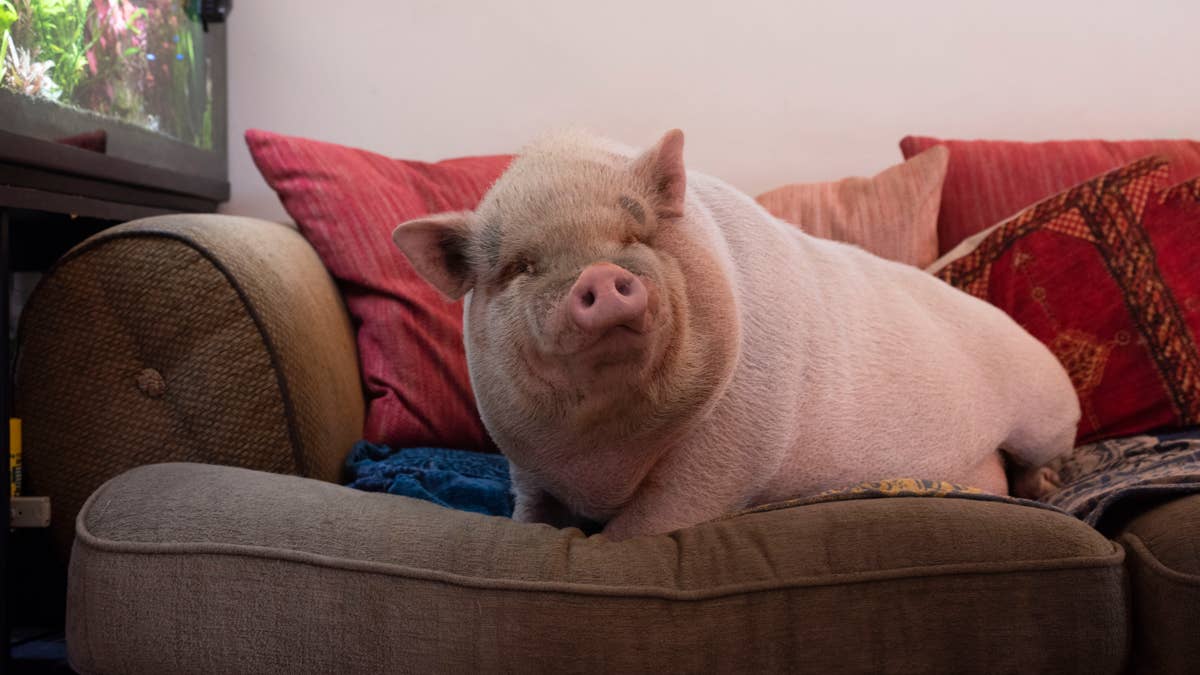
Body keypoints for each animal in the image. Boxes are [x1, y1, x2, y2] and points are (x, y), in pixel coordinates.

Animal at [391, 129, 1080, 540]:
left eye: (637, 235)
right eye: (521, 267)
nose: (601, 274)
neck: (602, 458)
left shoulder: (735, 448)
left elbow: (646, 526)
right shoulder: (524, 460)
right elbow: (530, 515)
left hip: (1045, 409)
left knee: (1043, 456)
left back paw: (1049, 487)